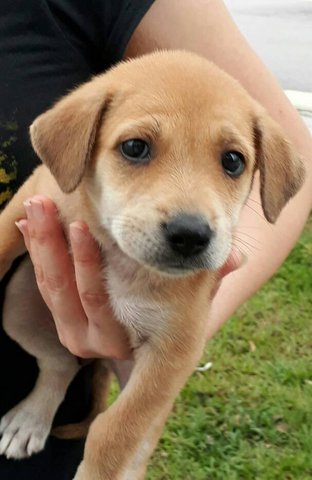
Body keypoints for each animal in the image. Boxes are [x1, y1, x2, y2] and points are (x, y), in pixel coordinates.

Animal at [0, 50, 304, 478]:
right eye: (134, 147)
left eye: (233, 161)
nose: (190, 234)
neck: (124, 260)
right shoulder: (26, 203)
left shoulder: (172, 352)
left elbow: (113, 433)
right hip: (19, 307)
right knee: (60, 362)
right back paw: (31, 420)